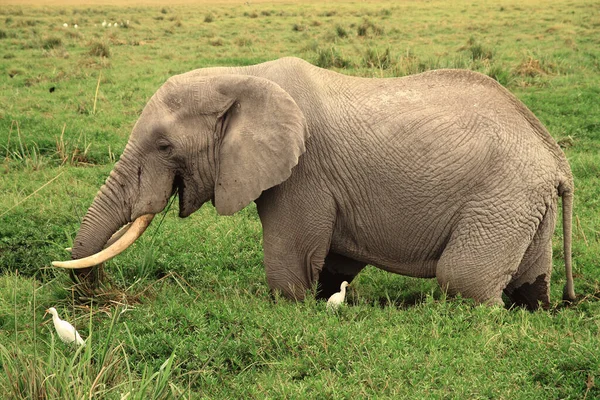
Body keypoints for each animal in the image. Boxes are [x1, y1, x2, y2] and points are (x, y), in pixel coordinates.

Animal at [54, 56, 576, 310]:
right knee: (528, 285)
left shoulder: (302, 173)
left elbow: (289, 269)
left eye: (164, 146)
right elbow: (332, 266)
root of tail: (555, 157)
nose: (103, 298)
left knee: (463, 281)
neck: (242, 76)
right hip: (524, 204)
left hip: (501, 198)